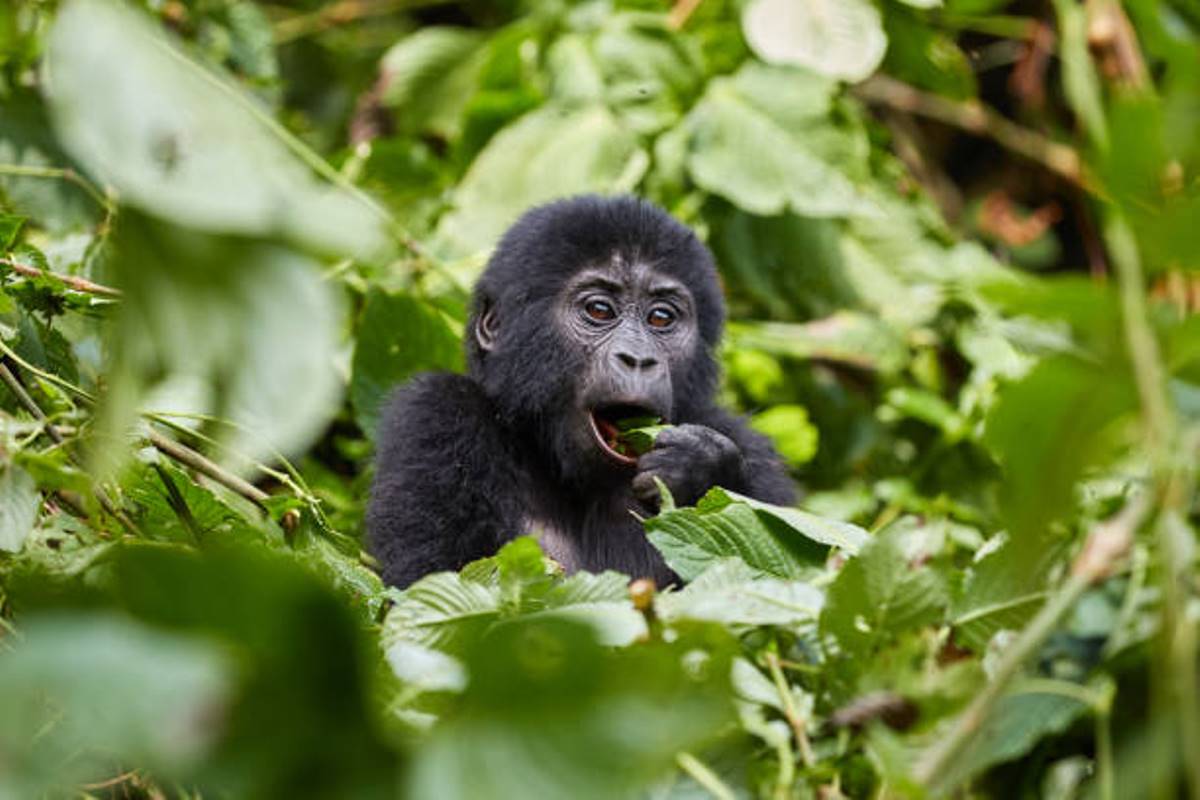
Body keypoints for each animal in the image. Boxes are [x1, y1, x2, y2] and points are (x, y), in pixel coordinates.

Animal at [369, 194, 792, 587]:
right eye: (600, 310)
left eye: (660, 317)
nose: (638, 359)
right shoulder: (434, 414)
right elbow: (437, 579)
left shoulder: (749, 447)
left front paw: (703, 468)